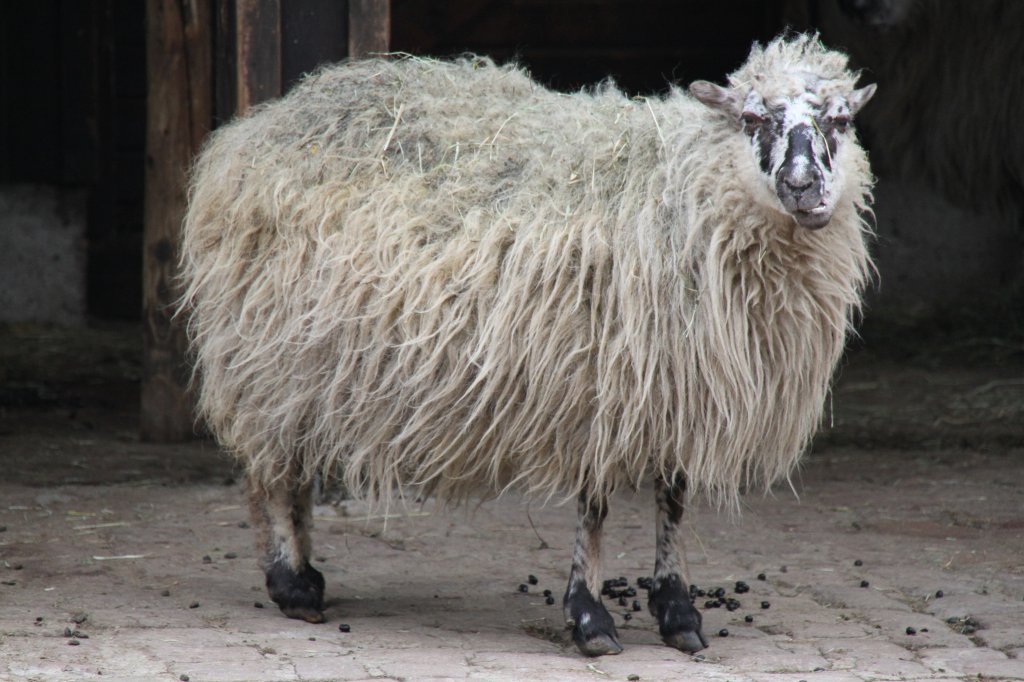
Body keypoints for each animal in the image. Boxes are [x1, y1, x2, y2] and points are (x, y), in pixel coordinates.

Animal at [180, 31, 876, 655]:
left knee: (292, 469)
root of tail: (262, 121)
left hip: (303, 367)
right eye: (753, 118)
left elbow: (673, 498)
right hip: (267, 353)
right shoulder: (601, 385)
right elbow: (594, 507)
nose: (802, 185)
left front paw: (677, 612)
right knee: (271, 473)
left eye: (840, 119)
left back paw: (306, 578)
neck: (681, 189)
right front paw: (591, 618)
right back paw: (292, 584)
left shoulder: (674, 388)